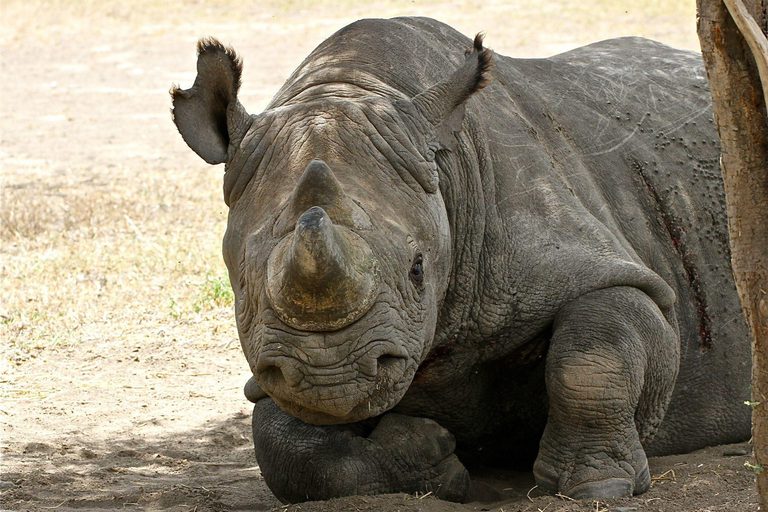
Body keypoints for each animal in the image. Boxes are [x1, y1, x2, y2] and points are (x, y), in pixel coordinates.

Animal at [171, 17, 751, 503]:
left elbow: (592, 353)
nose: (329, 378)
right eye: (240, 282)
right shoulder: (273, 360)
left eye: (418, 268)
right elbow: (285, 444)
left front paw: (597, 487)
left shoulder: (610, 268)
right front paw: (431, 461)